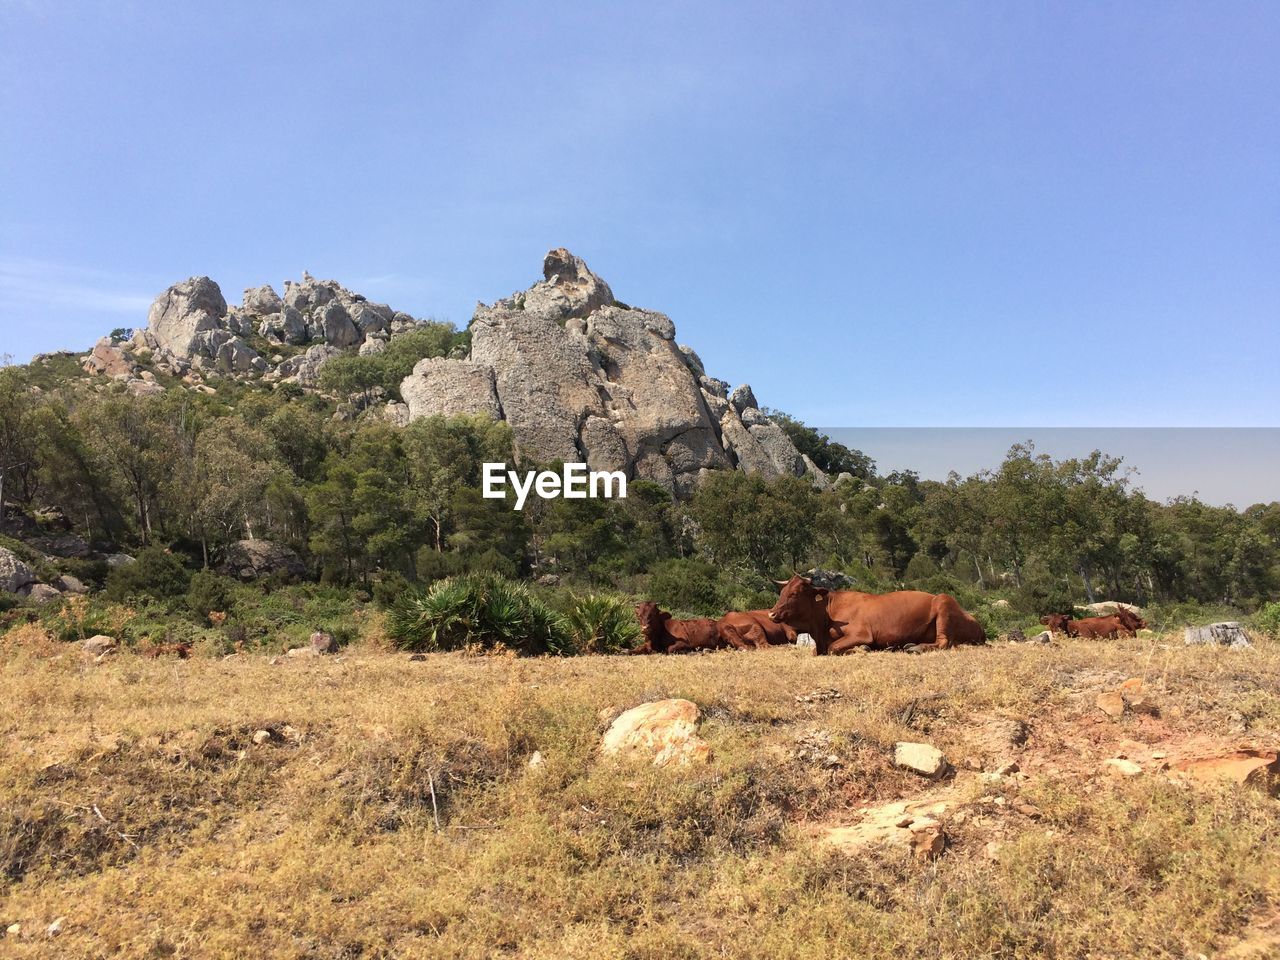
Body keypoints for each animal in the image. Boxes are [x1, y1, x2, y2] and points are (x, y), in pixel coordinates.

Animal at [762, 576, 983, 660]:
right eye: (782, 591)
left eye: (794, 594)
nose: (771, 613)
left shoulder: (861, 634)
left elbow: (835, 648)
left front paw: (862, 649)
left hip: (944, 602)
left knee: (944, 642)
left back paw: (915, 647)